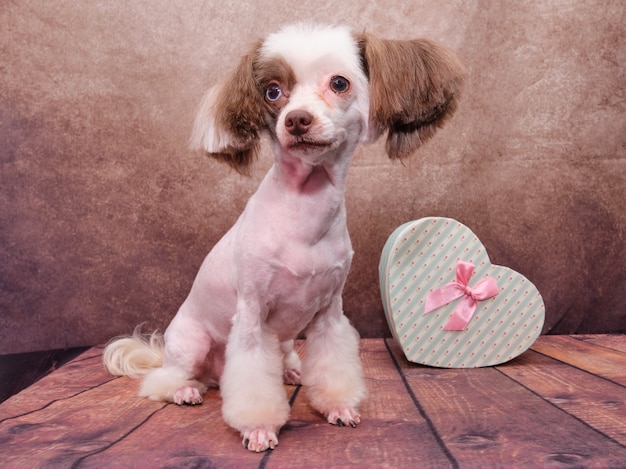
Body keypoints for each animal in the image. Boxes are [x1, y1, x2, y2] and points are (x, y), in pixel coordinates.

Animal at [103, 22, 464, 450]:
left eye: (339, 83)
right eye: (273, 92)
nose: (297, 119)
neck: (305, 211)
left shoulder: (329, 314)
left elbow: (333, 365)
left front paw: (338, 407)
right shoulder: (252, 316)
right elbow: (252, 382)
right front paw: (258, 427)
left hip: (287, 340)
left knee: (282, 359)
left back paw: (291, 372)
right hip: (192, 344)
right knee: (162, 379)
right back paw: (184, 390)